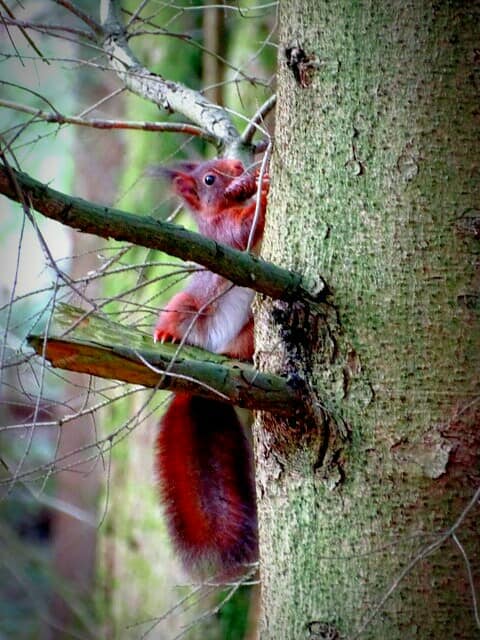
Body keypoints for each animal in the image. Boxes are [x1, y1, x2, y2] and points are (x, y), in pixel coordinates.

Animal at [154, 156, 268, 576]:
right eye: (208, 179)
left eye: (231, 163)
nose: (239, 167)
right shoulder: (219, 236)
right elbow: (239, 230)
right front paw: (265, 189)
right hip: (189, 307)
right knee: (177, 315)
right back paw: (166, 334)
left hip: (249, 330)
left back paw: (240, 357)